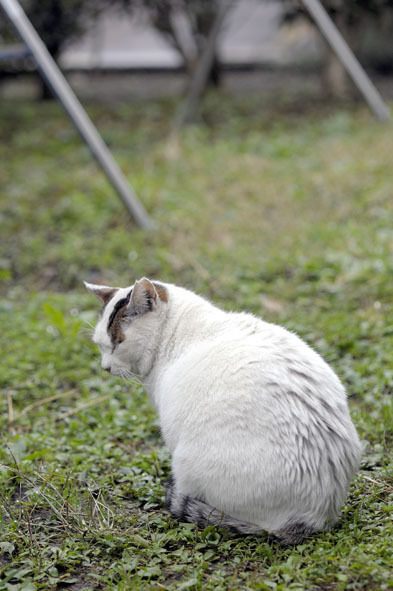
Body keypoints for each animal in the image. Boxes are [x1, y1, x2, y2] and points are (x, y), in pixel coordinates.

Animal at [84, 278, 360, 544]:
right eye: (100, 345)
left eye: (118, 343)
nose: (105, 367)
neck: (177, 332)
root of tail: (313, 516)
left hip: (187, 462)